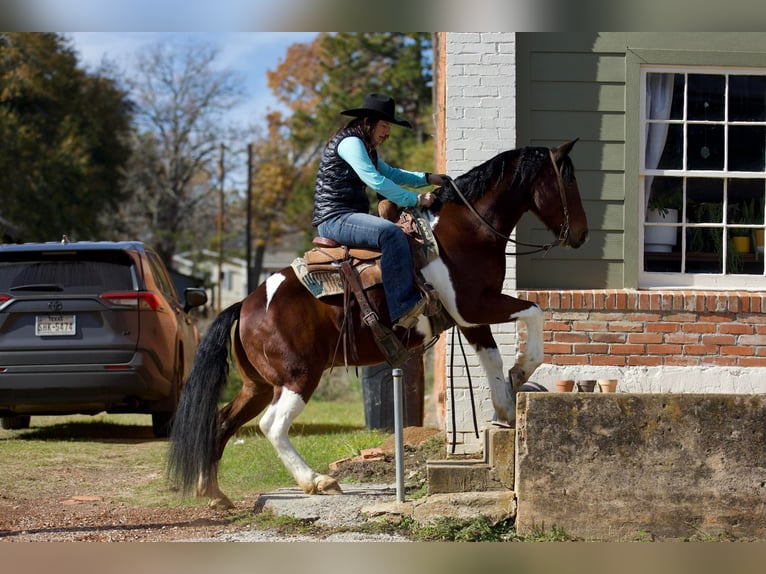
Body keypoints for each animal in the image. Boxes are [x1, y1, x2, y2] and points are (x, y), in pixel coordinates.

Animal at [168, 140, 588, 508]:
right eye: (568, 180)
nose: (582, 234)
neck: (465, 230)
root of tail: (245, 305)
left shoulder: (470, 319)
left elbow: (492, 359)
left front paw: (506, 409)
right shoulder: (476, 306)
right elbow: (534, 311)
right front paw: (521, 373)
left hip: (256, 385)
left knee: (221, 422)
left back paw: (213, 492)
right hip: (298, 377)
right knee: (272, 425)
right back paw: (317, 481)